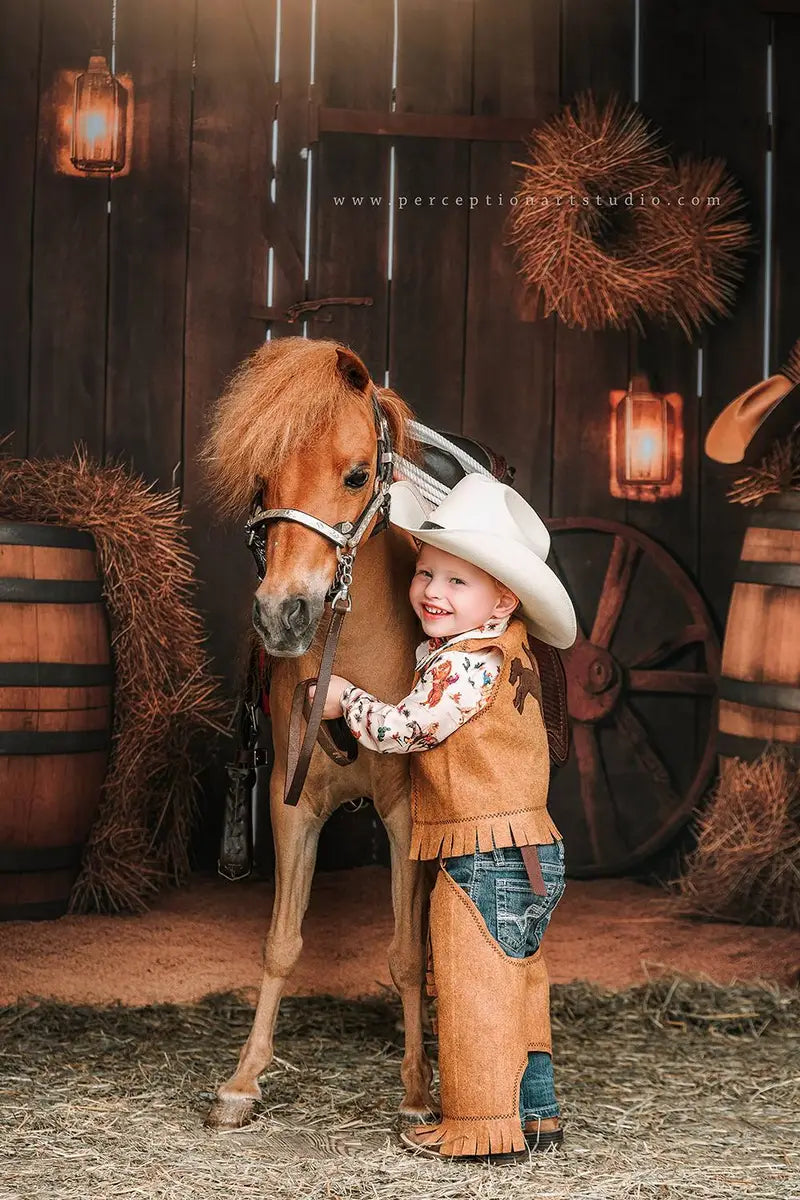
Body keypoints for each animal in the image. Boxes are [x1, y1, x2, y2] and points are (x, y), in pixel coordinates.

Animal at [203, 336, 434, 1123]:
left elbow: (406, 953)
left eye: (357, 473)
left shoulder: (406, 813)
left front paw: (418, 1090)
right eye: (263, 480)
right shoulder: (290, 801)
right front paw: (243, 1080)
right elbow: (280, 942)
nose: (283, 614)